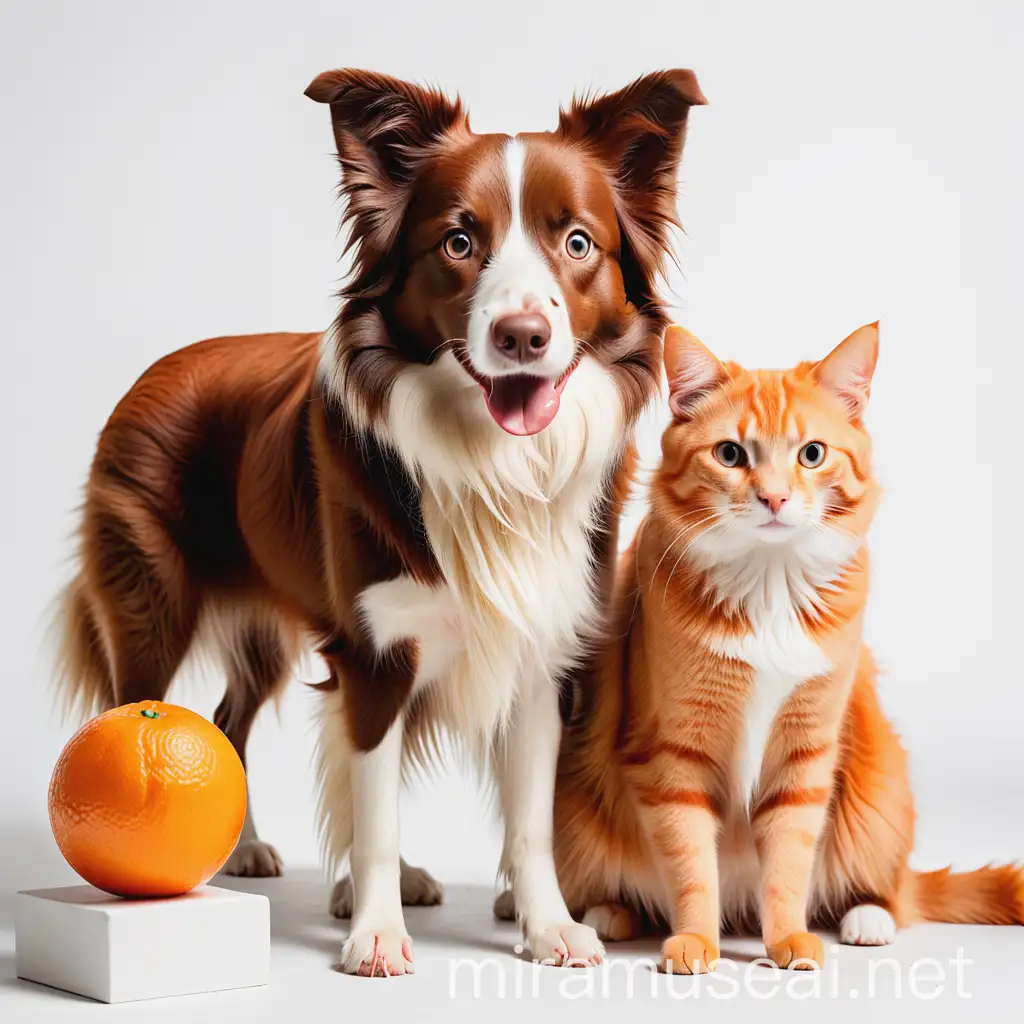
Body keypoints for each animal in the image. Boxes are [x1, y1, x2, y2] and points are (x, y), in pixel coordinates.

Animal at [54, 68, 704, 970]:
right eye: (458, 242)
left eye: (577, 243)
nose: (523, 336)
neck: (491, 464)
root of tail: (161, 367)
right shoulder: (373, 655)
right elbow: (375, 811)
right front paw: (374, 933)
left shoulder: (540, 651)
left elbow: (531, 821)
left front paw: (547, 926)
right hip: (152, 608)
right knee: (154, 715)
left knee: (222, 721)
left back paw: (246, 848)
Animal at [520, 325, 1024, 966]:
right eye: (731, 454)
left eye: (811, 453)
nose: (775, 499)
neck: (768, 581)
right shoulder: (675, 753)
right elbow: (692, 865)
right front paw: (694, 942)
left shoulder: (804, 757)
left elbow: (787, 864)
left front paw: (787, 940)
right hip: (575, 807)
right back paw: (610, 915)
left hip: (879, 786)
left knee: (893, 892)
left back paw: (867, 919)